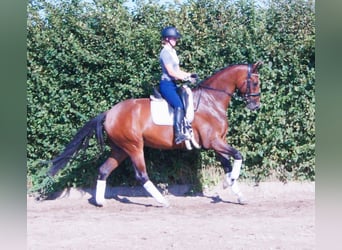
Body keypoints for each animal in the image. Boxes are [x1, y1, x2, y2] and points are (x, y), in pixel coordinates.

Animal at [48, 61, 262, 206]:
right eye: (255, 82)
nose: (255, 106)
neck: (211, 100)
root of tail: (109, 113)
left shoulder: (218, 142)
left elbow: (228, 164)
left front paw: (237, 193)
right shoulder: (213, 141)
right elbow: (238, 155)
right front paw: (229, 183)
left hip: (120, 149)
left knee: (103, 170)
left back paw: (100, 202)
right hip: (134, 147)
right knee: (141, 175)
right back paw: (162, 201)